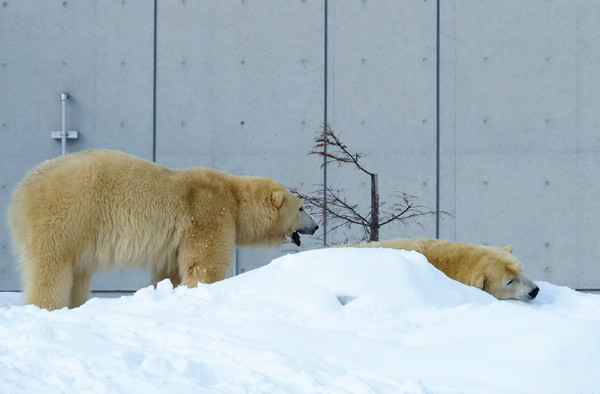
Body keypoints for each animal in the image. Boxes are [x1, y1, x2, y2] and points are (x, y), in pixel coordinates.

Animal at [9, 149, 318, 310]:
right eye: (302, 208)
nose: (316, 226)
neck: (233, 196)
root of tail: (20, 192)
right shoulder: (208, 212)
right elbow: (205, 264)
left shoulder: (176, 241)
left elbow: (169, 270)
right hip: (63, 217)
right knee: (50, 266)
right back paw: (47, 306)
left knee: (77, 272)